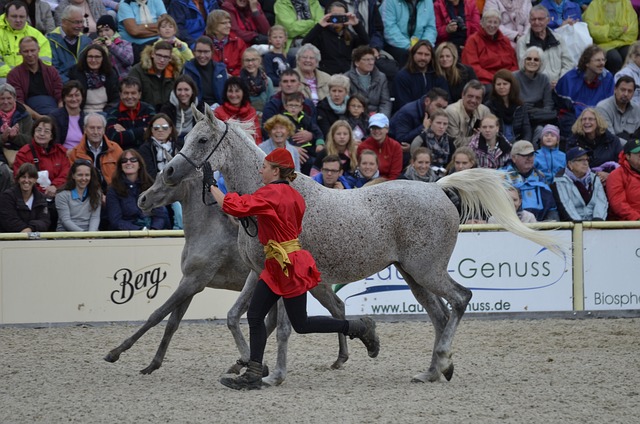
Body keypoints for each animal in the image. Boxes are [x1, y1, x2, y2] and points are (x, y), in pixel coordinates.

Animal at [162, 107, 564, 384]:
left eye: (201, 140)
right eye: (185, 135)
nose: (167, 172)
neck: (265, 202)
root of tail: (438, 189)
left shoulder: (282, 279)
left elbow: (283, 327)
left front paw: (273, 375)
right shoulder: (259, 274)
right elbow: (242, 317)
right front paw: (250, 366)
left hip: (427, 270)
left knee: (461, 300)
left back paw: (444, 361)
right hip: (413, 275)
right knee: (440, 314)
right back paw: (429, 372)